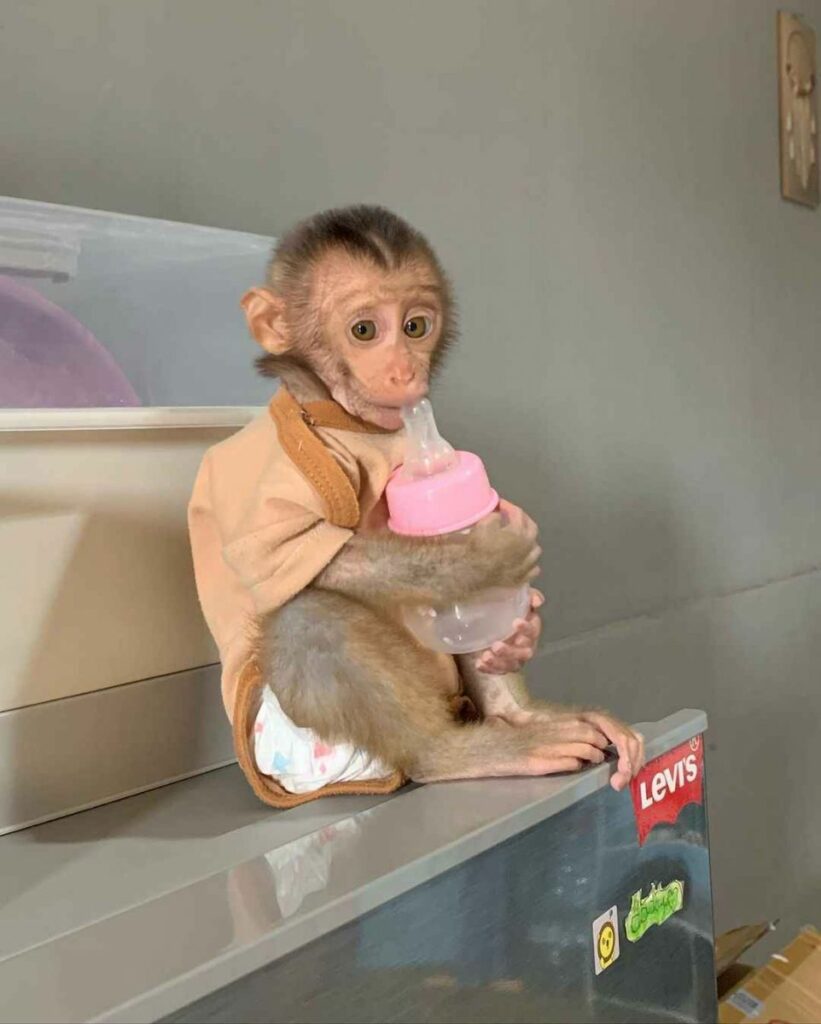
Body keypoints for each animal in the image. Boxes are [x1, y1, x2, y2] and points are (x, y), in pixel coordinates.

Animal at [189, 205, 644, 807]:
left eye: (414, 327)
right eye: (364, 331)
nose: (407, 372)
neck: (341, 416)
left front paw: (519, 632)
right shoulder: (268, 466)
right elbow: (307, 558)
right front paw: (477, 561)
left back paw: (519, 715)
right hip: (302, 752)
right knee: (308, 614)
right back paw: (453, 753)